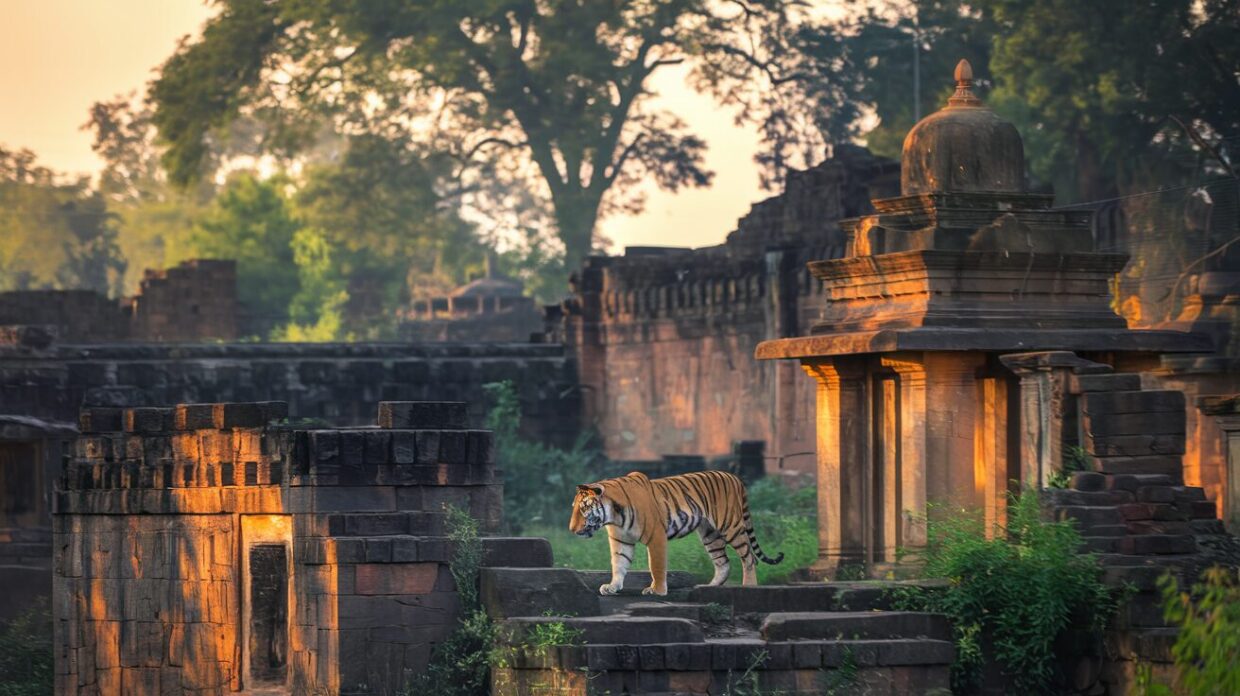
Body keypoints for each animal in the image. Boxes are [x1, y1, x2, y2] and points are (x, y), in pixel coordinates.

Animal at [568, 470, 784, 596]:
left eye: (583, 508)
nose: (571, 529)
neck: (614, 515)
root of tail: (734, 477)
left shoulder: (656, 537)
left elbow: (656, 565)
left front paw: (657, 590)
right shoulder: (621, 540)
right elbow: (619, 564)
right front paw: (612, 586)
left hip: (730, 526)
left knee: (749, 557)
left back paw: (749, 586)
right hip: (710, 534)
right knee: (723, 562)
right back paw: (709, 586)